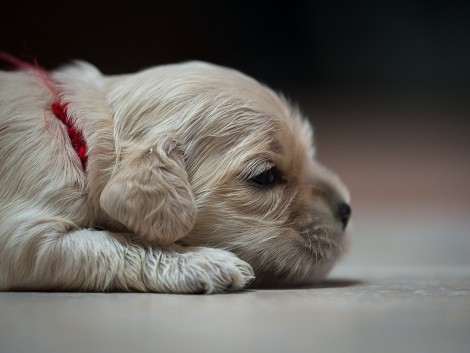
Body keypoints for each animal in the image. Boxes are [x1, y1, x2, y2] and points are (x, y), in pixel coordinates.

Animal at [0, 57, 350, 292]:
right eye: (264, 177)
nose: (347, 210)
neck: (79, 136)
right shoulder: (26, 238)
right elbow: (118, 245)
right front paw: (205, 263)